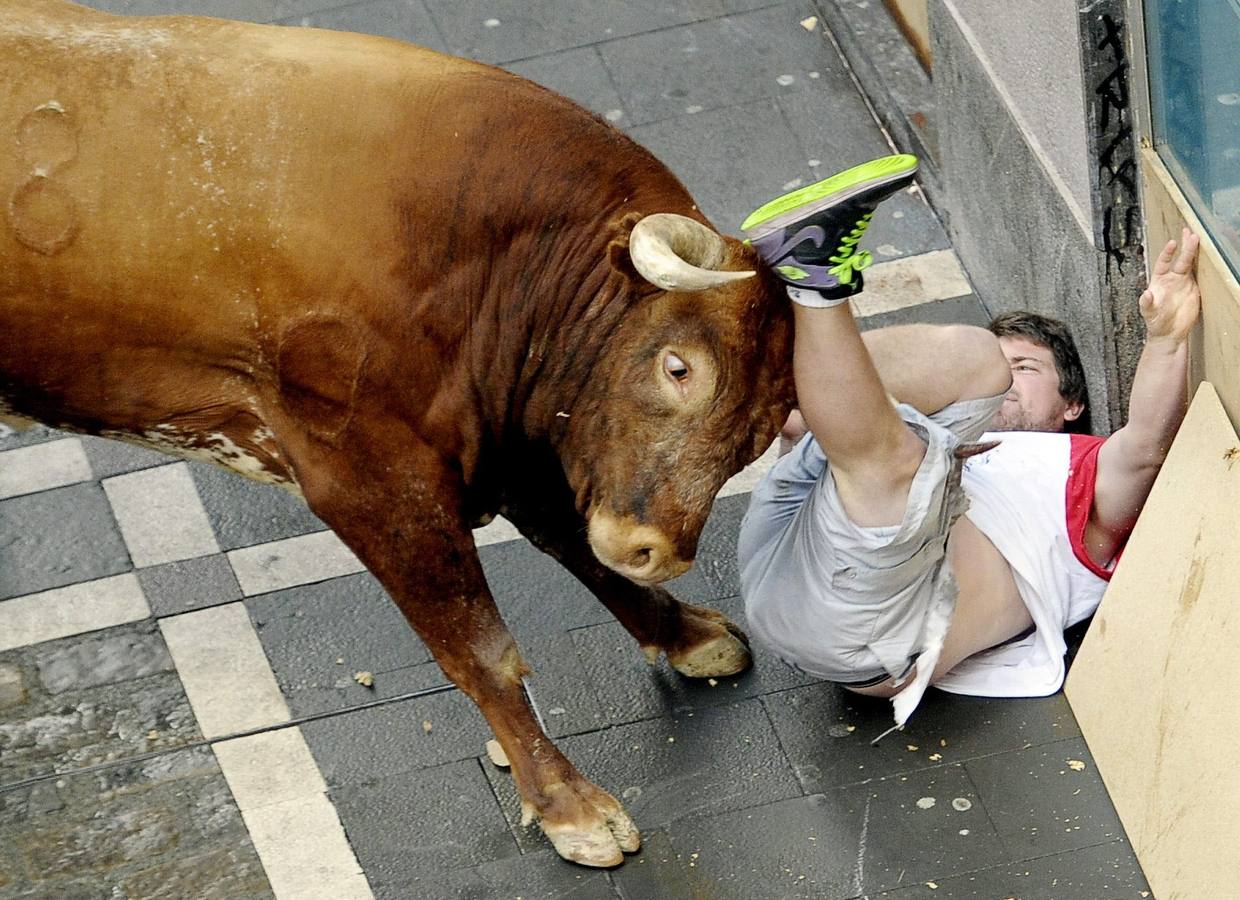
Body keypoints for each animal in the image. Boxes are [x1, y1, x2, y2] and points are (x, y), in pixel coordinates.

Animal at [0, 1, 793, 872]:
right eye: (678, 367)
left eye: (760, 433)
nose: (658, 549)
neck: (478, 256)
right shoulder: (371, 480)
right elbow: (480, 648)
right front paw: (571, 807)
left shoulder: (508, 446)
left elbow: (574, 545)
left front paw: (685, 634)